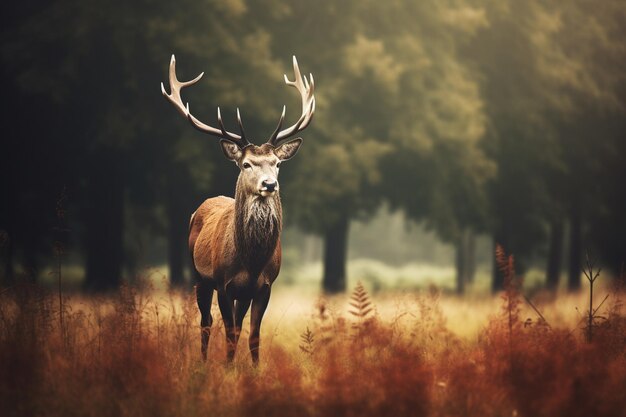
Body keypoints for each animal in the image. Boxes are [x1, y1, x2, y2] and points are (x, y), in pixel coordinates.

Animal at [160, 54, 314, 364]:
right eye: (246, 164)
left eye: (276, 163)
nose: (269, 184)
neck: (251, 261)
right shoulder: (223, 283)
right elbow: (229, 333)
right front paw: (227, 369)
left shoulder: (264, 286)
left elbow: (252, 335)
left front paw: (253, 370)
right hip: (199, 277)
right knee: (206, 322)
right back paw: (204, 362)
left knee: (236, 325)